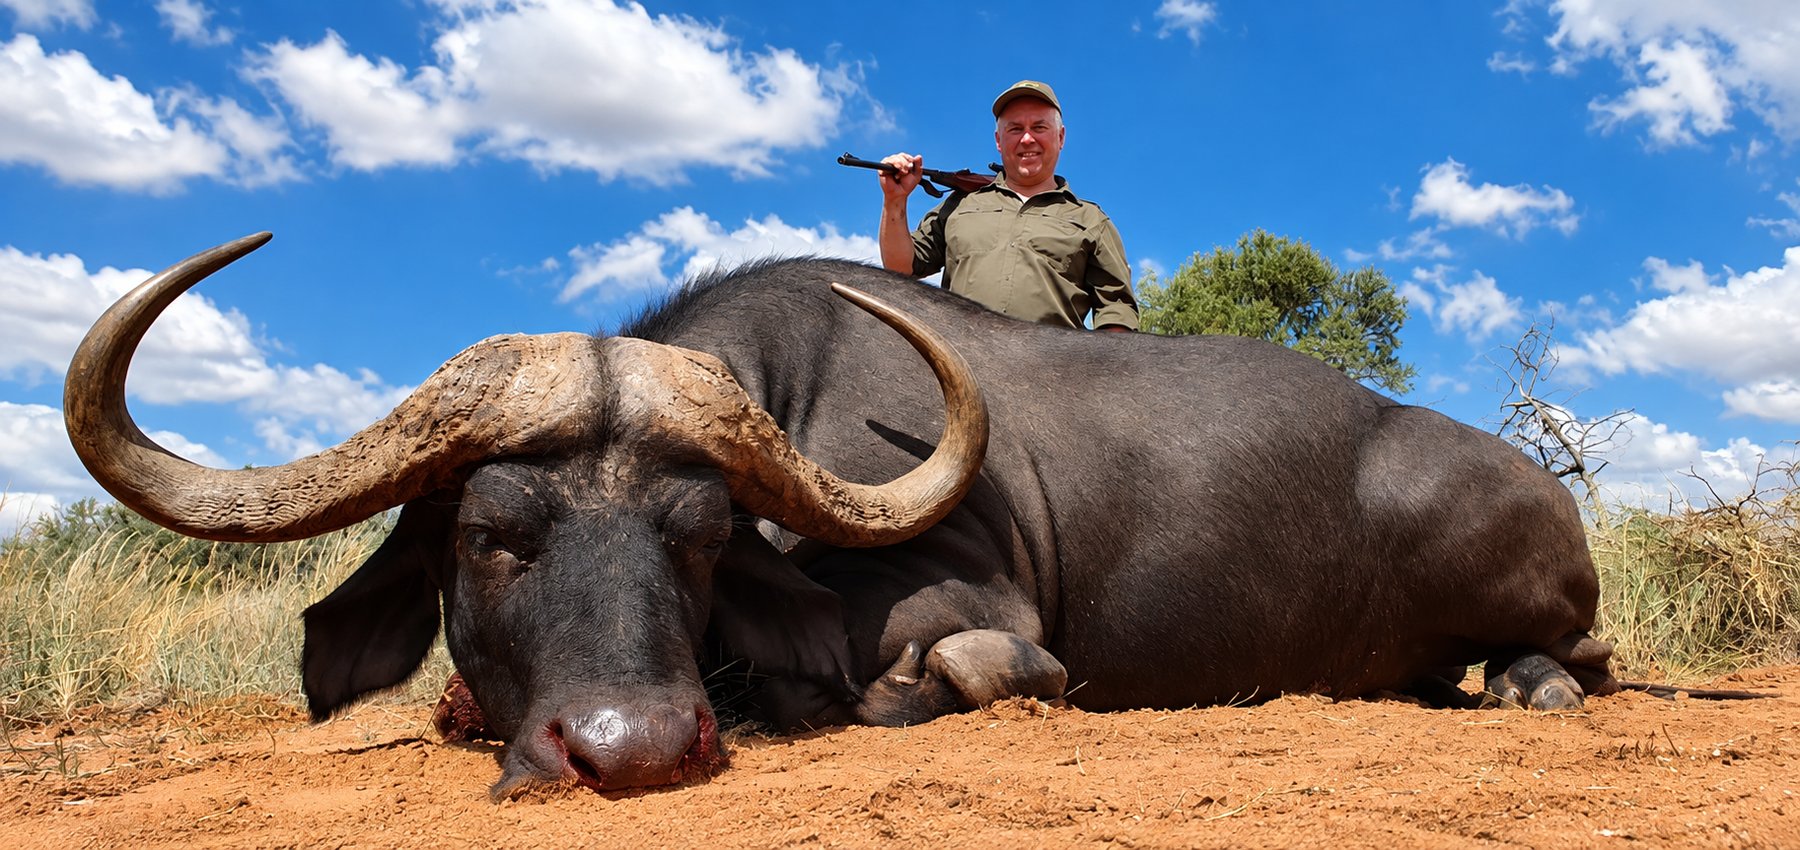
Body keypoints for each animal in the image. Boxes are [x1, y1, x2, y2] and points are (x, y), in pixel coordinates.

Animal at [67, 233, 1621, 797]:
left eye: (701, 538)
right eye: (490, 532)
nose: (628, 747)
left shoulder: (977, 620)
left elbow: (961, 669)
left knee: (1573, 662)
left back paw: (1536, 682)